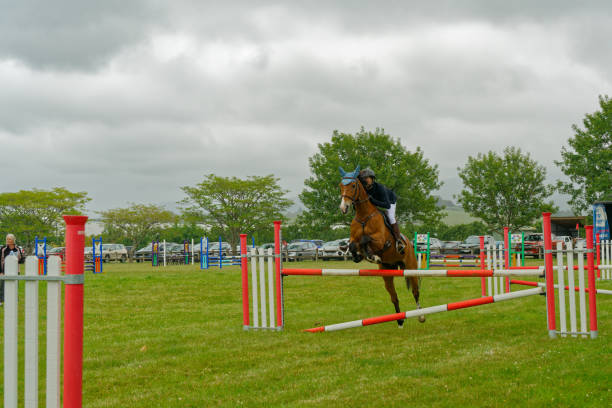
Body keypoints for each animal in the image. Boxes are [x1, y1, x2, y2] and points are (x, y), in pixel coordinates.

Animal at [338, 164, 424, 326]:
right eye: (340, 185)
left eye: (353, 185)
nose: (343, 207)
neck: (364, 216)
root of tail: (409, 243)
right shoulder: (353, 239)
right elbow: (353, 245)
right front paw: (359, 256)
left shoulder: (380, 240)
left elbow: (366, 239)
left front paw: (372, 256)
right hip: (387, 273)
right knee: (394, 296)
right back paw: (400, 320)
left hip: (411, 268)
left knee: (416, 292)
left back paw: (421, 316)